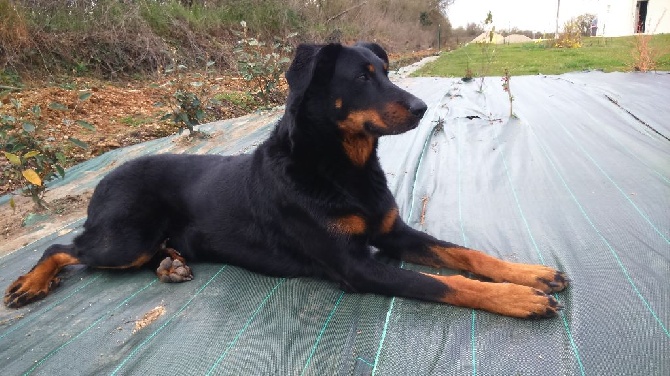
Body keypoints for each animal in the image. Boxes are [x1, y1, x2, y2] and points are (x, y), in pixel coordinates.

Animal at [5, 43, 572, 318]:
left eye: (387, 71)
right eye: (362, 76)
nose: (421, 107)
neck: (342, 168)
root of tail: (103, 179)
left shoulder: (393, 232)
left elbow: (465, 255)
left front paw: (528, 274)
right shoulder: (354, 266)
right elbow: (445, 282)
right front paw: (517, 299)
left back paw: (172, 265)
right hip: (126, 238)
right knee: (63, 246)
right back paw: (29, 283)